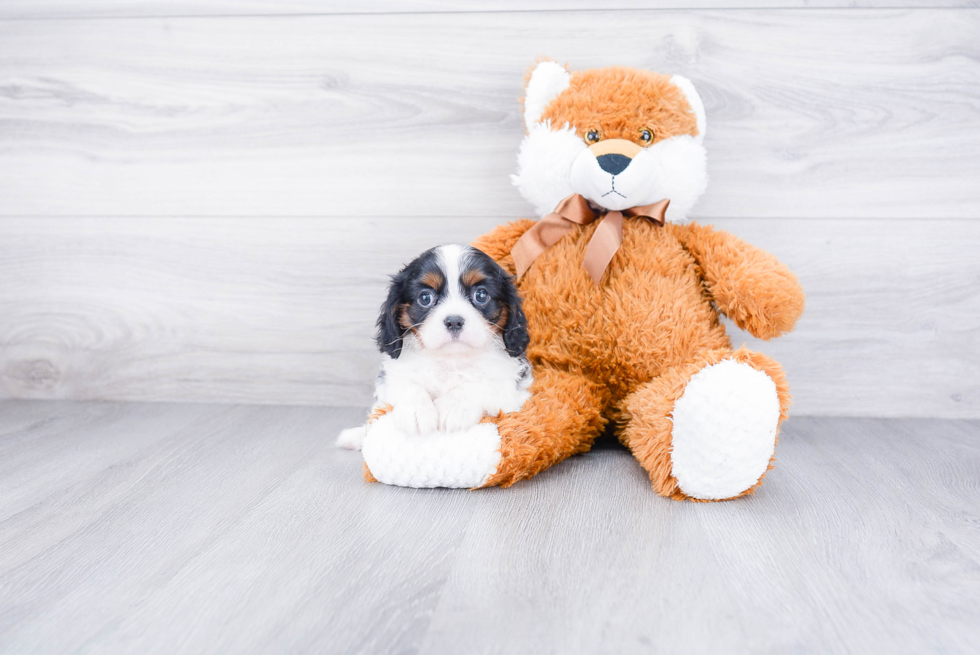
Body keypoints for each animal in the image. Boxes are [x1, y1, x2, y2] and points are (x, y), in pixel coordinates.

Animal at [338, 245, 536, 452]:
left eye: (481, 295)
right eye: (425, 298)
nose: (454, 321)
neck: (450, 359)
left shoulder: (512, 390)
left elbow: (479, 384)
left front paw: (453, 407)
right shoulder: (391, 377)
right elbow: (407, 383)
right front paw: (416, 410)